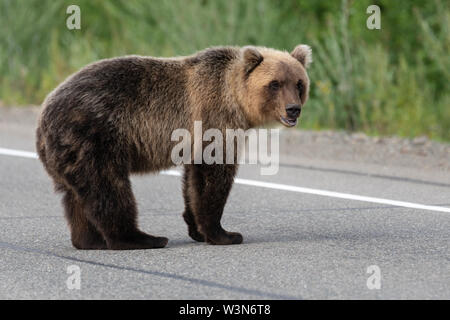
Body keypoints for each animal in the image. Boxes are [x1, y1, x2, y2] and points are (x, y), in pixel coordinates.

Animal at [35, 45, 312, 250]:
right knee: (108, 188)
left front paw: (197, 229)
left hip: (70, 152)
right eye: (275, 83)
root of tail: (43, 116)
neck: (236, 101)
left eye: (299, 83)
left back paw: (89, 241)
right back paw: (142, 238)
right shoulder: (214, 119)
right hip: (95, 135)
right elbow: (213, 176)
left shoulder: (195, 138)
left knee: (75, 196)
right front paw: (225, 234)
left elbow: (192, 181)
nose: (293, 109)